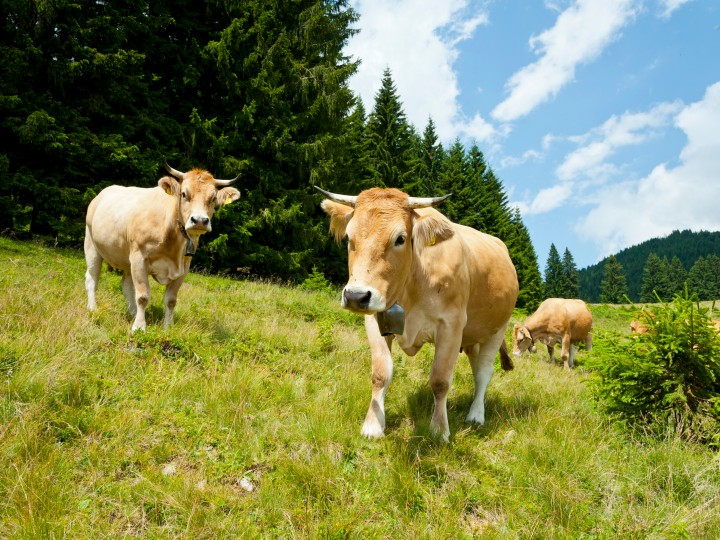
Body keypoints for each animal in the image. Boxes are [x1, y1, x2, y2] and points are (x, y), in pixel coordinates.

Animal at [84, 160, 240, 331]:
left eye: (213, 198)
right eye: (184, 194)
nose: (199, 220)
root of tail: (101, 194)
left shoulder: (184, 267)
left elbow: (171, 300)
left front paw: (168, 326)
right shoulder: (139, 258)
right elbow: (143, 296)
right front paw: (139, 327)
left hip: (126, 258)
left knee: (126, 285)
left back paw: (132, 312)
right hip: (91, 246)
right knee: (92, 279)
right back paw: (93, 308)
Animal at [316, 186, 519, 442]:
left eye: (400, 239)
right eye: (349, 238)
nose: (355, 296)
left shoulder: (452, 325)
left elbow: (440, 380)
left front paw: (439, 430)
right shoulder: (374, 318)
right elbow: (380, 372)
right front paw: (373, 425)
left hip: (498, 329)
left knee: (484, 371)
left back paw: (476, 415)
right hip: (473, 336)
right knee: (476, 368)